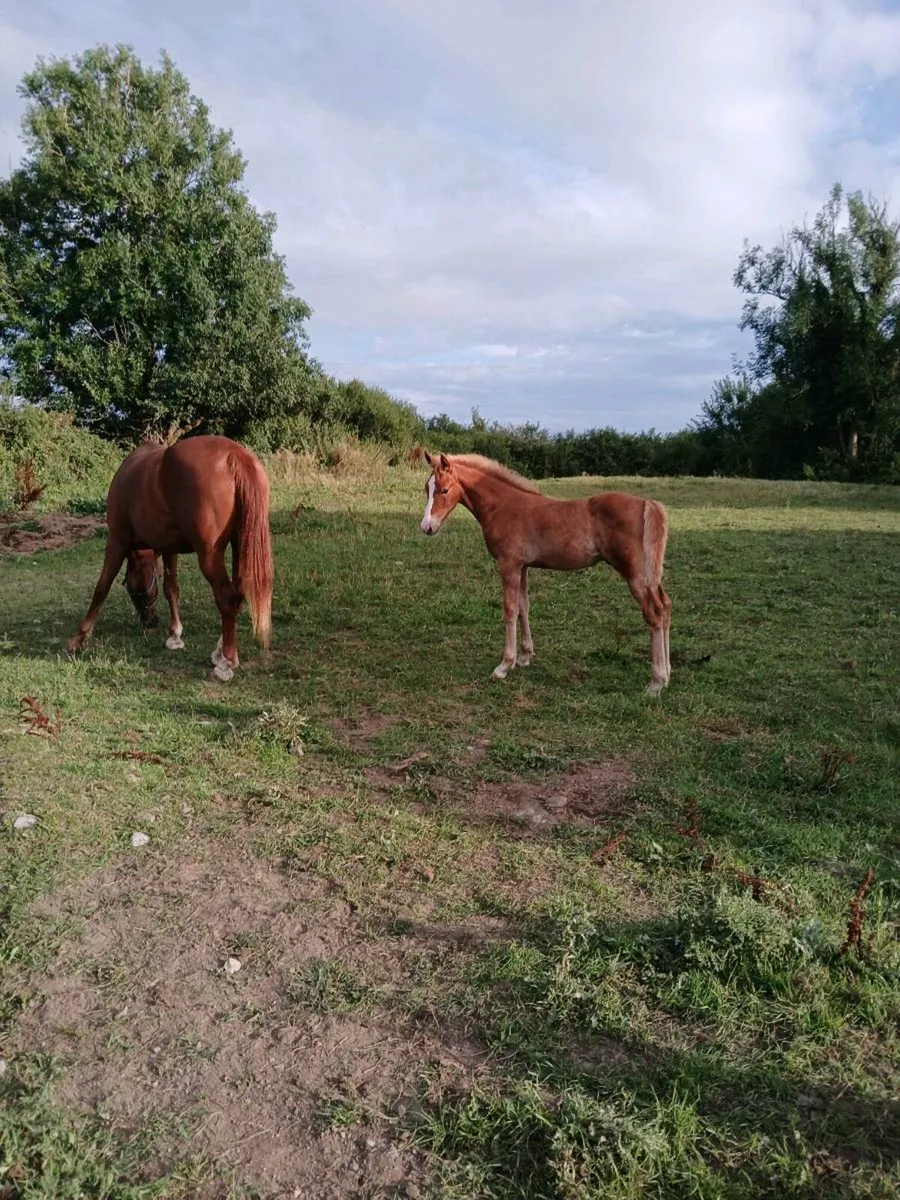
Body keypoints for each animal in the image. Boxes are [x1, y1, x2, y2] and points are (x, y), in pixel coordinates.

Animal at [67, 435, 274, 682]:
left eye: (129, 586)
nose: (150, 620)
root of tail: (234, 456)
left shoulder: (117, 540)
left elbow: (102, 586)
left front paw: (80, 637)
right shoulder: (168, 548)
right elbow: (171, 588)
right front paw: (175, 635)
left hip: (209, 554)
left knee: (227, 597)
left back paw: (226, 662)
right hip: (240, 542)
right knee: (238, 594)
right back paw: (220, 651)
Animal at [419, 452, 671, 695]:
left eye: (444, 489)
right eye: (426, 488)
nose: (426, 527)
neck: (503, 506)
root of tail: (646, 503)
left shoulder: (508, 564)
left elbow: (510, 610)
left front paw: (504, 665)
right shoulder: (522, 566)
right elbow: (523, 606)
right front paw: (524, 656)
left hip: (635, 574)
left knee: (653, 613)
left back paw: (656, 682)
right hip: (650, 575)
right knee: (665, 606)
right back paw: (667, 672)